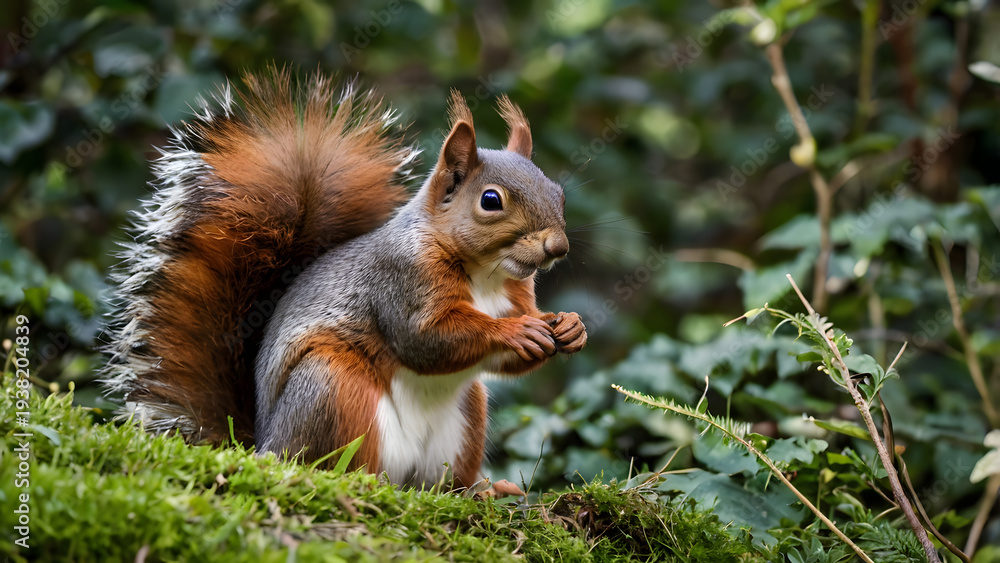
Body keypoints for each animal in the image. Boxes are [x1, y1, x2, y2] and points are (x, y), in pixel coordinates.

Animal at [103, 68, 587, 488]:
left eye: (558, 193)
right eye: (490, 200)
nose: (557, 248)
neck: (485, 273)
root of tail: (263, 444)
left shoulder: (517, 292)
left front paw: (570, 326)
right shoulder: (401, 278)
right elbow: (426, 339)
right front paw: (515, 331)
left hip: (464, 418)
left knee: (438, 483)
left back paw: (480, 491)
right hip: (331, 388)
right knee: (335, 463)